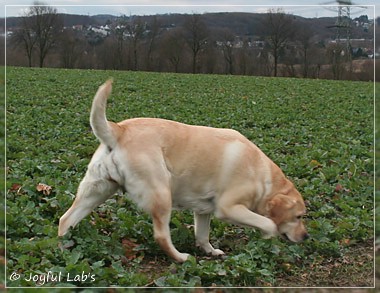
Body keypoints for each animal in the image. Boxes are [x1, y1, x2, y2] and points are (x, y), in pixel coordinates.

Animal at [58, 78, 308, 262]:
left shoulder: (204, 211)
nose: (306, 236)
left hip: (95, 191)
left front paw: (210, 251)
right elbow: (268, 223)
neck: (263, 176)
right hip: (161, 194)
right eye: (298, 216)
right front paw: (267, 236)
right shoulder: (228, 208)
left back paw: (63, 249)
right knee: (161, 235)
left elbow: (202, 234)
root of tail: (119, 130)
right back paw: (180, 258)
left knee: (65, 219)